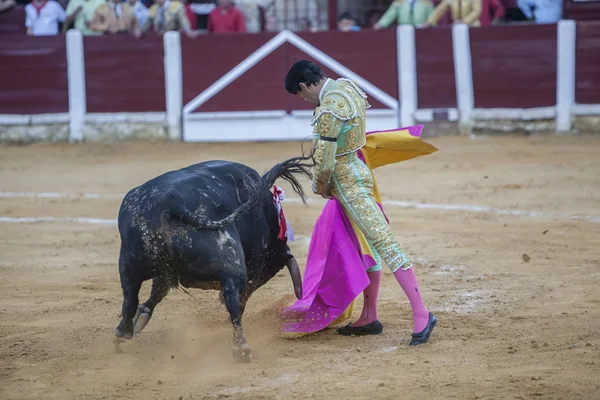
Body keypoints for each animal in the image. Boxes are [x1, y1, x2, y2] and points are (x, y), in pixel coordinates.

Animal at [113, 156, 312, 362]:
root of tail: (169, 201)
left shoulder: (166, 270)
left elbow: (159, 290)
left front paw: (141, 316)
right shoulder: (256, 263)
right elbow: (243, 295)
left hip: (128, 260)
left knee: (130, 296)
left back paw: (123, 332)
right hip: (231, 263)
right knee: (233, 298)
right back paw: (240, 347)